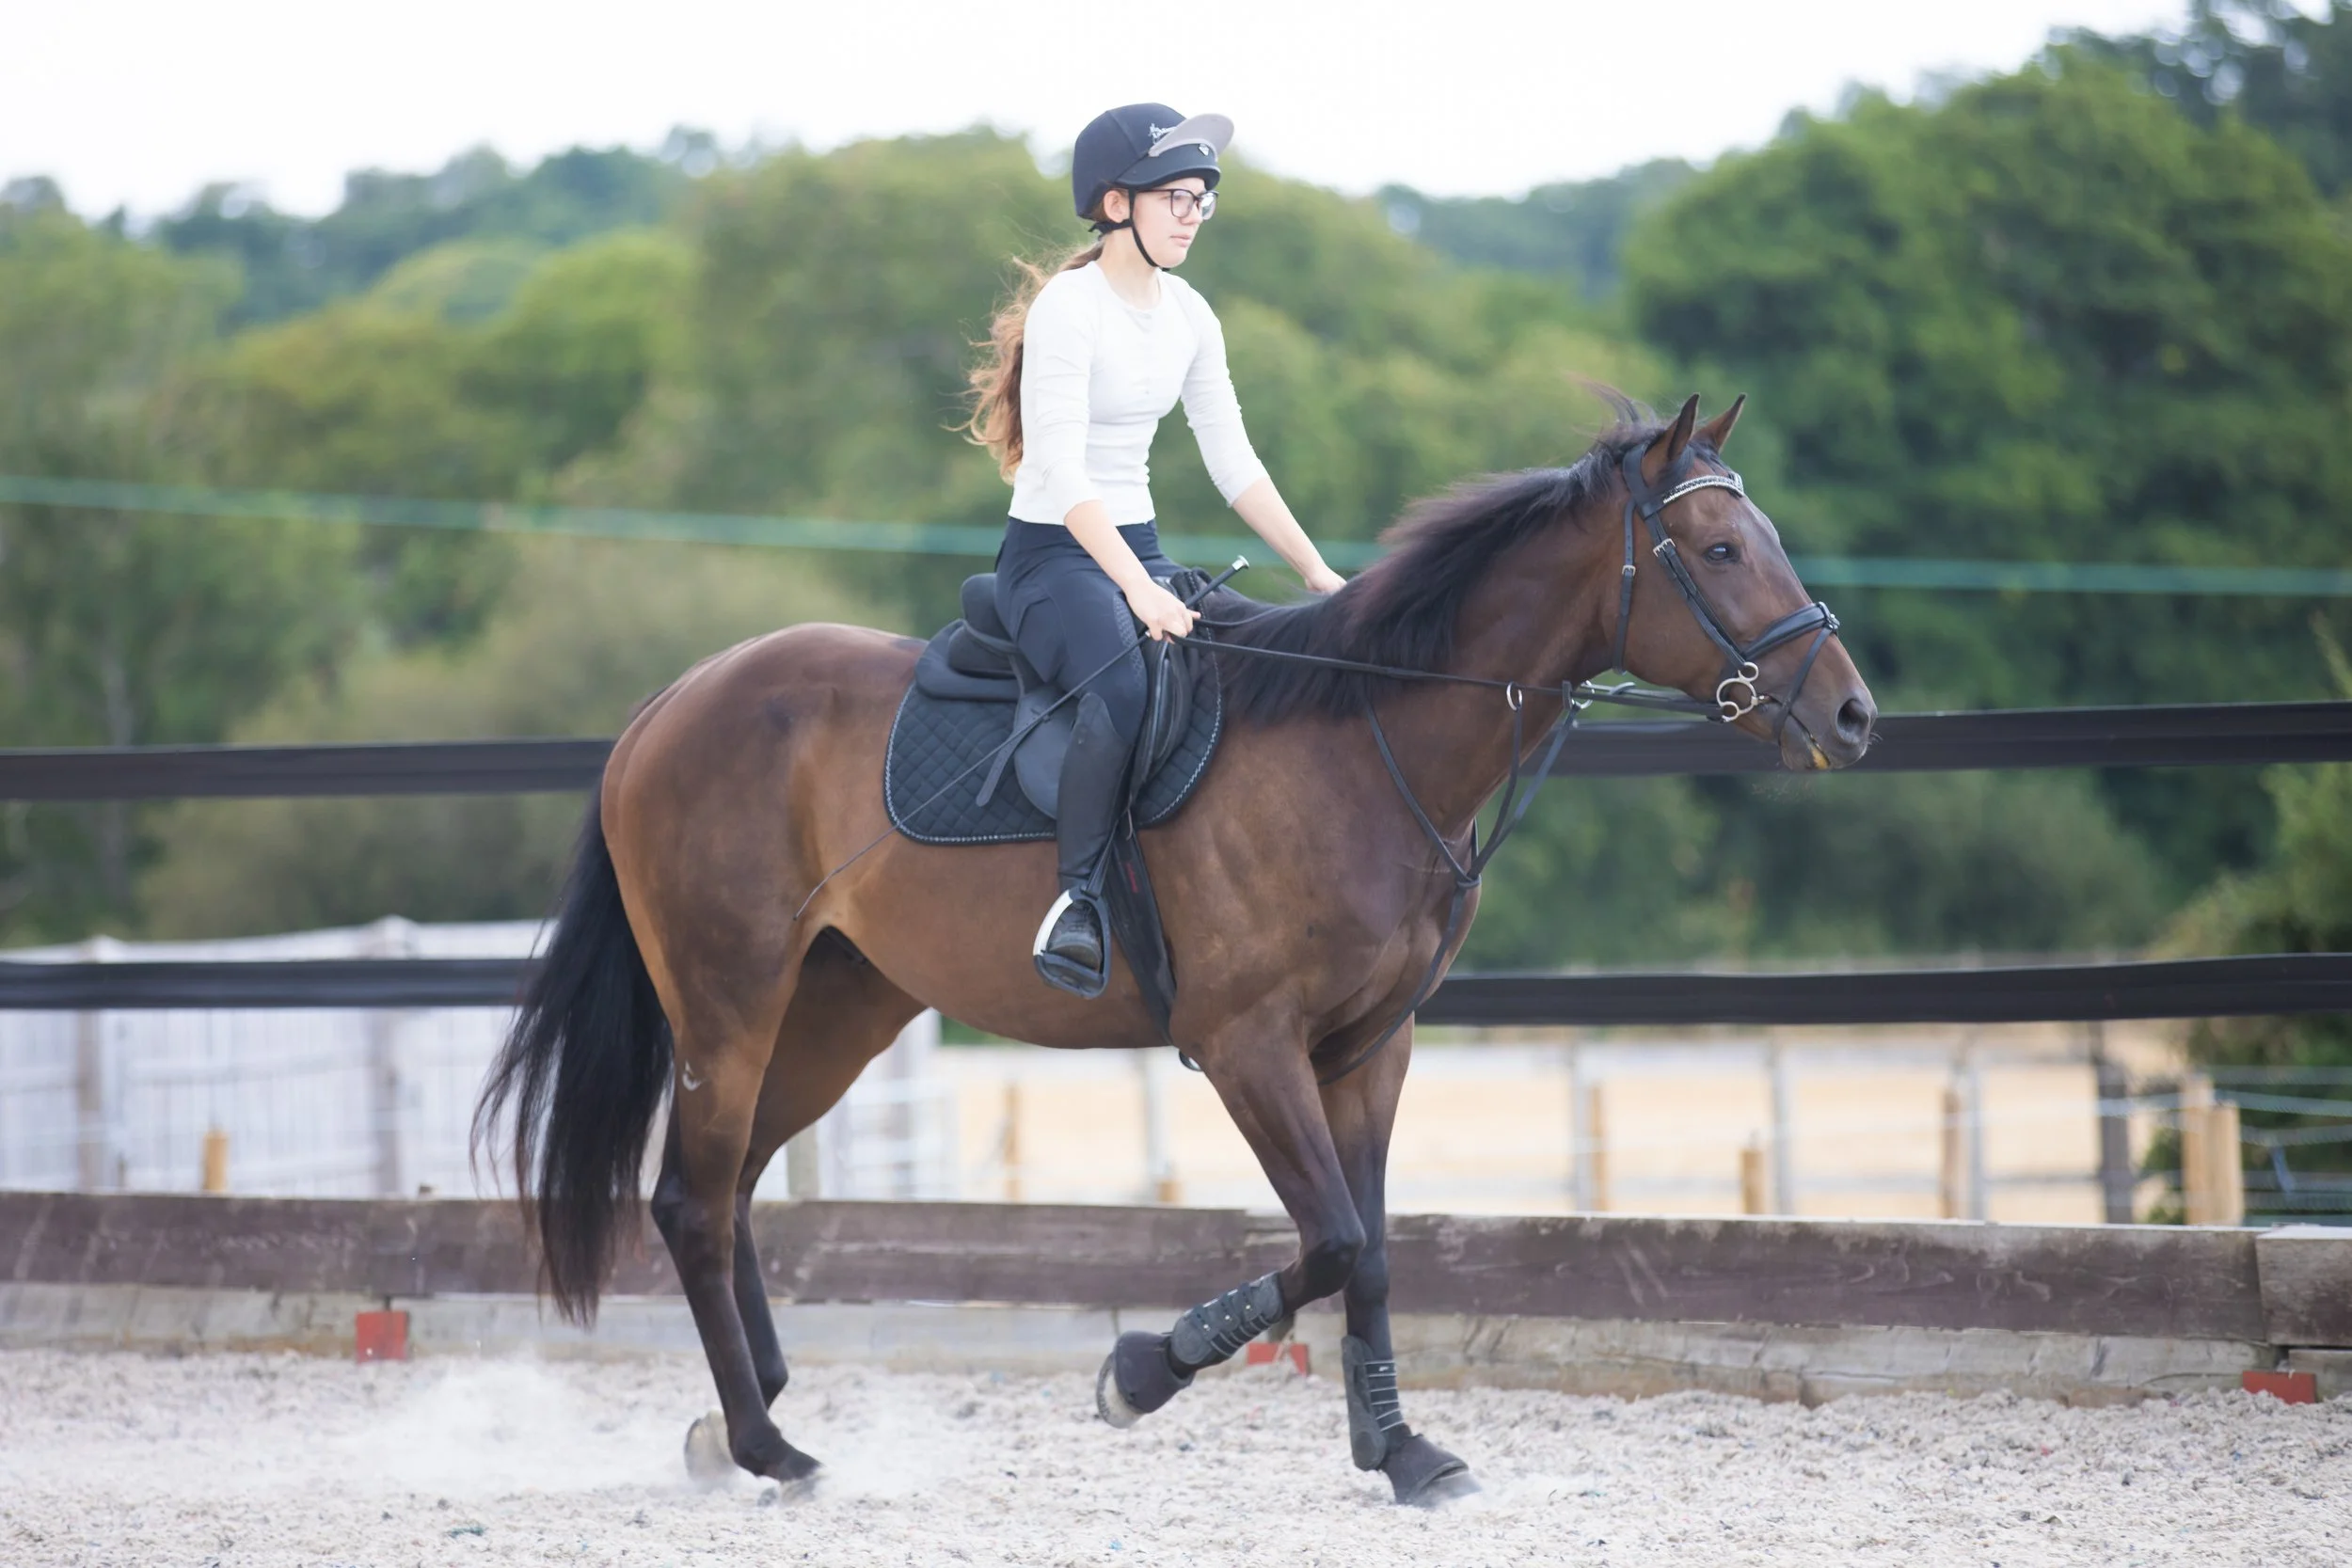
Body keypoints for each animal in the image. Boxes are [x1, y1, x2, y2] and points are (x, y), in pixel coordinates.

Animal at [476, 392, 1878, 1506]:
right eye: (1718, 548)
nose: (1854, 714)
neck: (1364, 739)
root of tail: (669, 701)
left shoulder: (1368, 1049)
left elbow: (1373, 1253)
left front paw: (1403, 1451)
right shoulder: (1248, 1044)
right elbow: (1332, 1241)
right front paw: (1142, 1368)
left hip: (833, 1012)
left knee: (731, 1187)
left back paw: (742, 1414)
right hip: (730, 1004)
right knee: (690, 1198)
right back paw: (772, 1446)